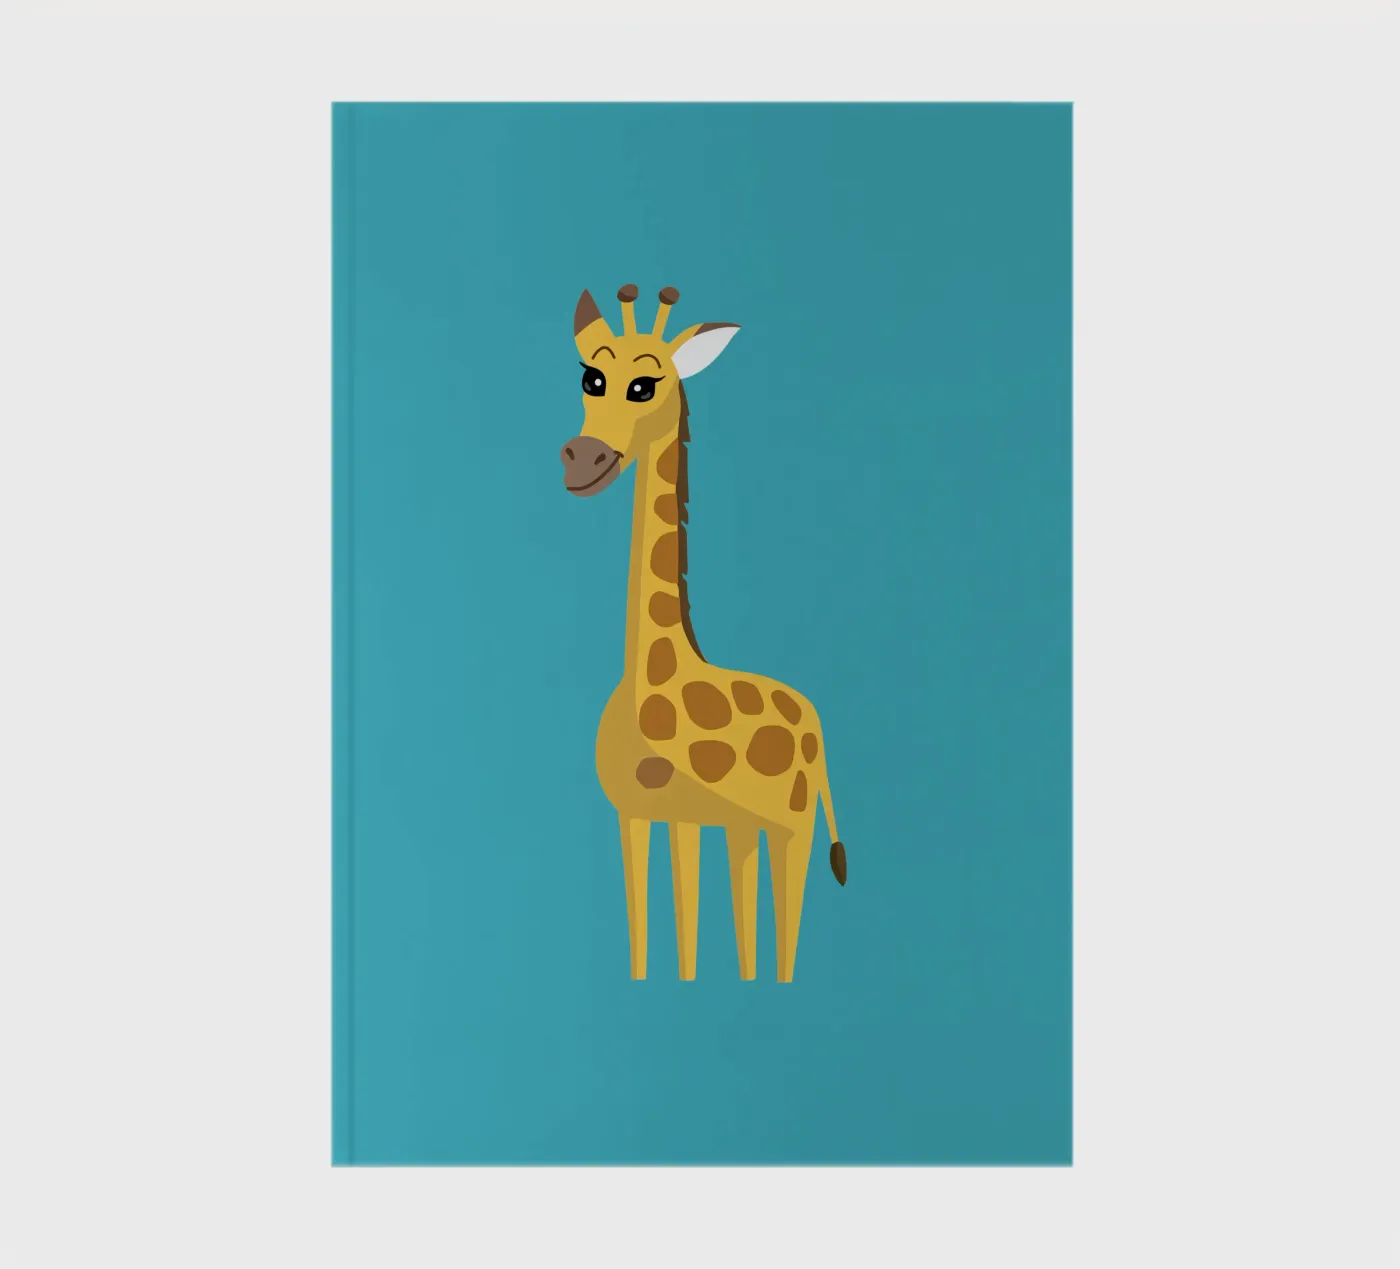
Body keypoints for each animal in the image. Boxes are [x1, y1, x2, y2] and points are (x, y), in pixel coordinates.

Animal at [560, 284, 847, 984]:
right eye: (590, 377)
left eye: (645, 385)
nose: (583, 460)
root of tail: (815, 723)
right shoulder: (649, 815)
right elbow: (659, 932)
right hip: (747, 828)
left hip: (795, 823)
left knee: (787, 921)